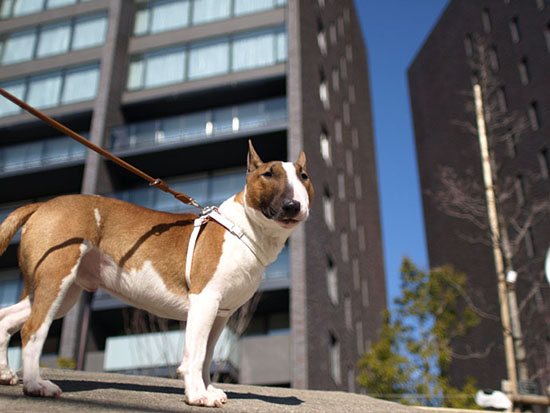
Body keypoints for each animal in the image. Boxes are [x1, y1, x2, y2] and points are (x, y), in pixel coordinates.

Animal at [0, 142, 314, 406]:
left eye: (304, 175)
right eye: (268, 173)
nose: (293, 206)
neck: (244, 229)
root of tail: (42, 204)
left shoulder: (221, 313)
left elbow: (209, 354)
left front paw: (208, 389)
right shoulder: (204, 301)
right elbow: (195, 353)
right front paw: (198, 395)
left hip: (62, 291)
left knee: (7, 318)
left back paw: (6, 374)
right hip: (56, 277)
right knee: (32, 329)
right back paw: (36, 385)